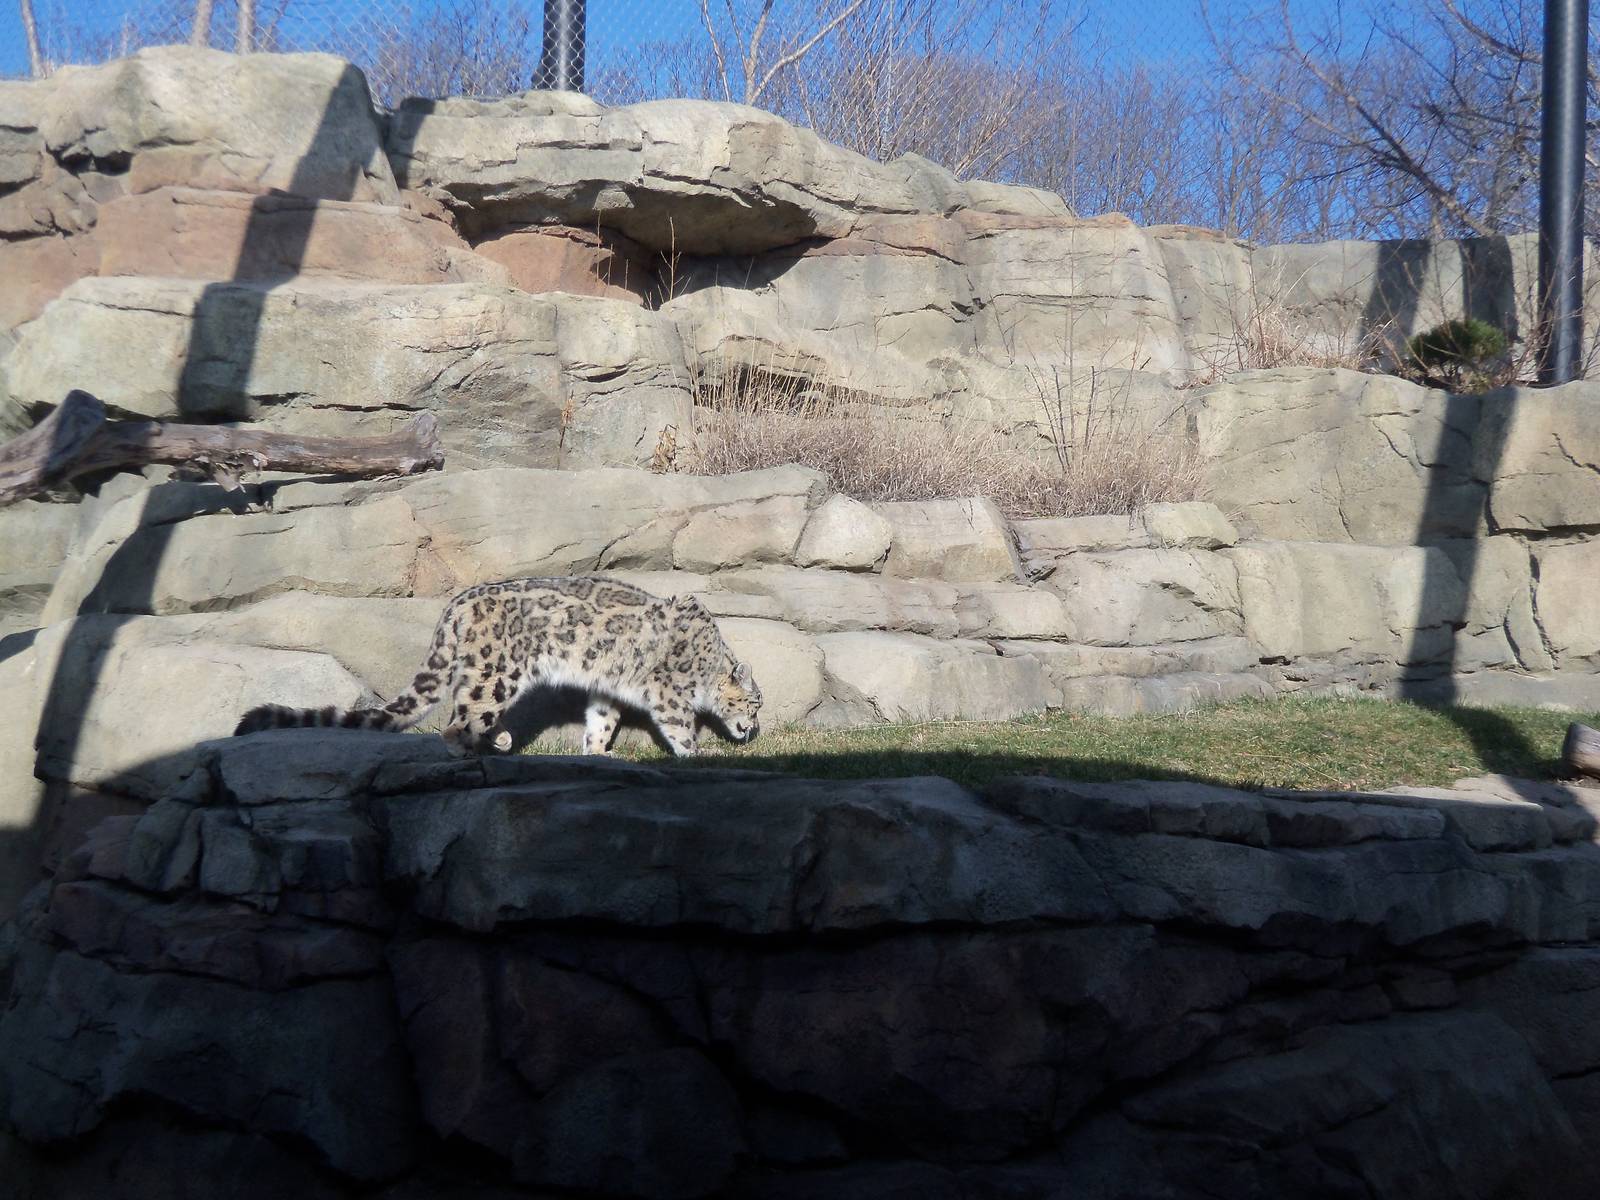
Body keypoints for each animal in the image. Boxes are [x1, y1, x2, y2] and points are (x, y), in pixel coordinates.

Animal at [233, 575, 762, 758]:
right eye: (754, 703)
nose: (753, 728)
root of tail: (457, 605)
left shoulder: (606, 688)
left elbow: (602, 719)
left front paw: (597, 752)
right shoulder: (669, 694)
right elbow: (681, 727)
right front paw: (700, 755)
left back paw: (501, 740)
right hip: (498, 672)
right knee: (457, 720)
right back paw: (473, 749)